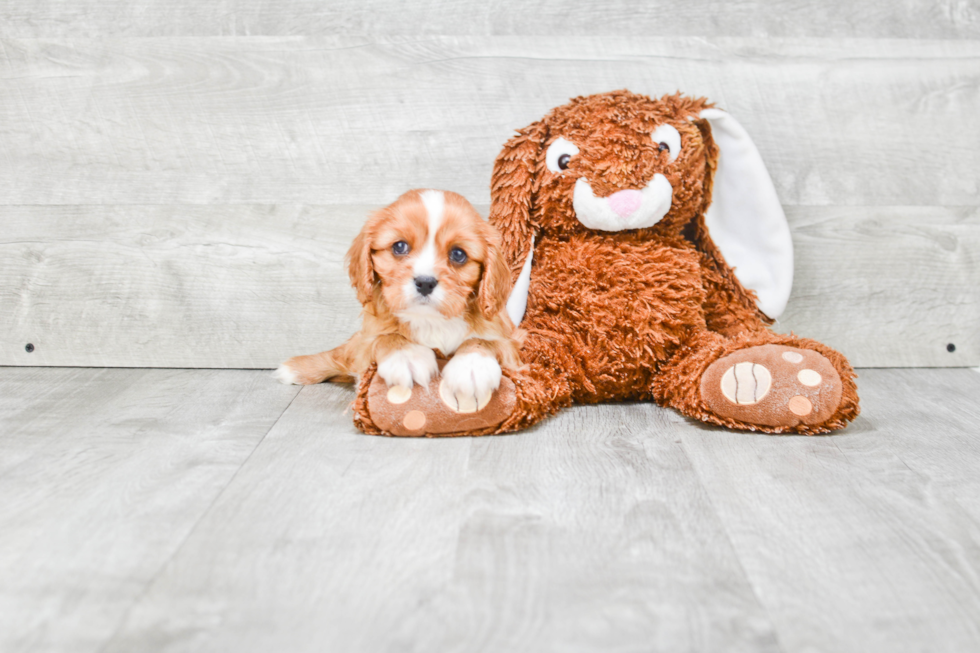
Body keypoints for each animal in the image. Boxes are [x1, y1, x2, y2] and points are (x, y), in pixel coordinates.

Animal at [272, 188, 524, 410]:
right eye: (400, 246)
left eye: (458, 254)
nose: (425, 282)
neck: (430, 321)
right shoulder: (369, 336)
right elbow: (386, 337)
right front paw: (406, 356)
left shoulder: (510, 341)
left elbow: (485, 341)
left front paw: (471, 367)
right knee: (342, 354)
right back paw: (294, 369)